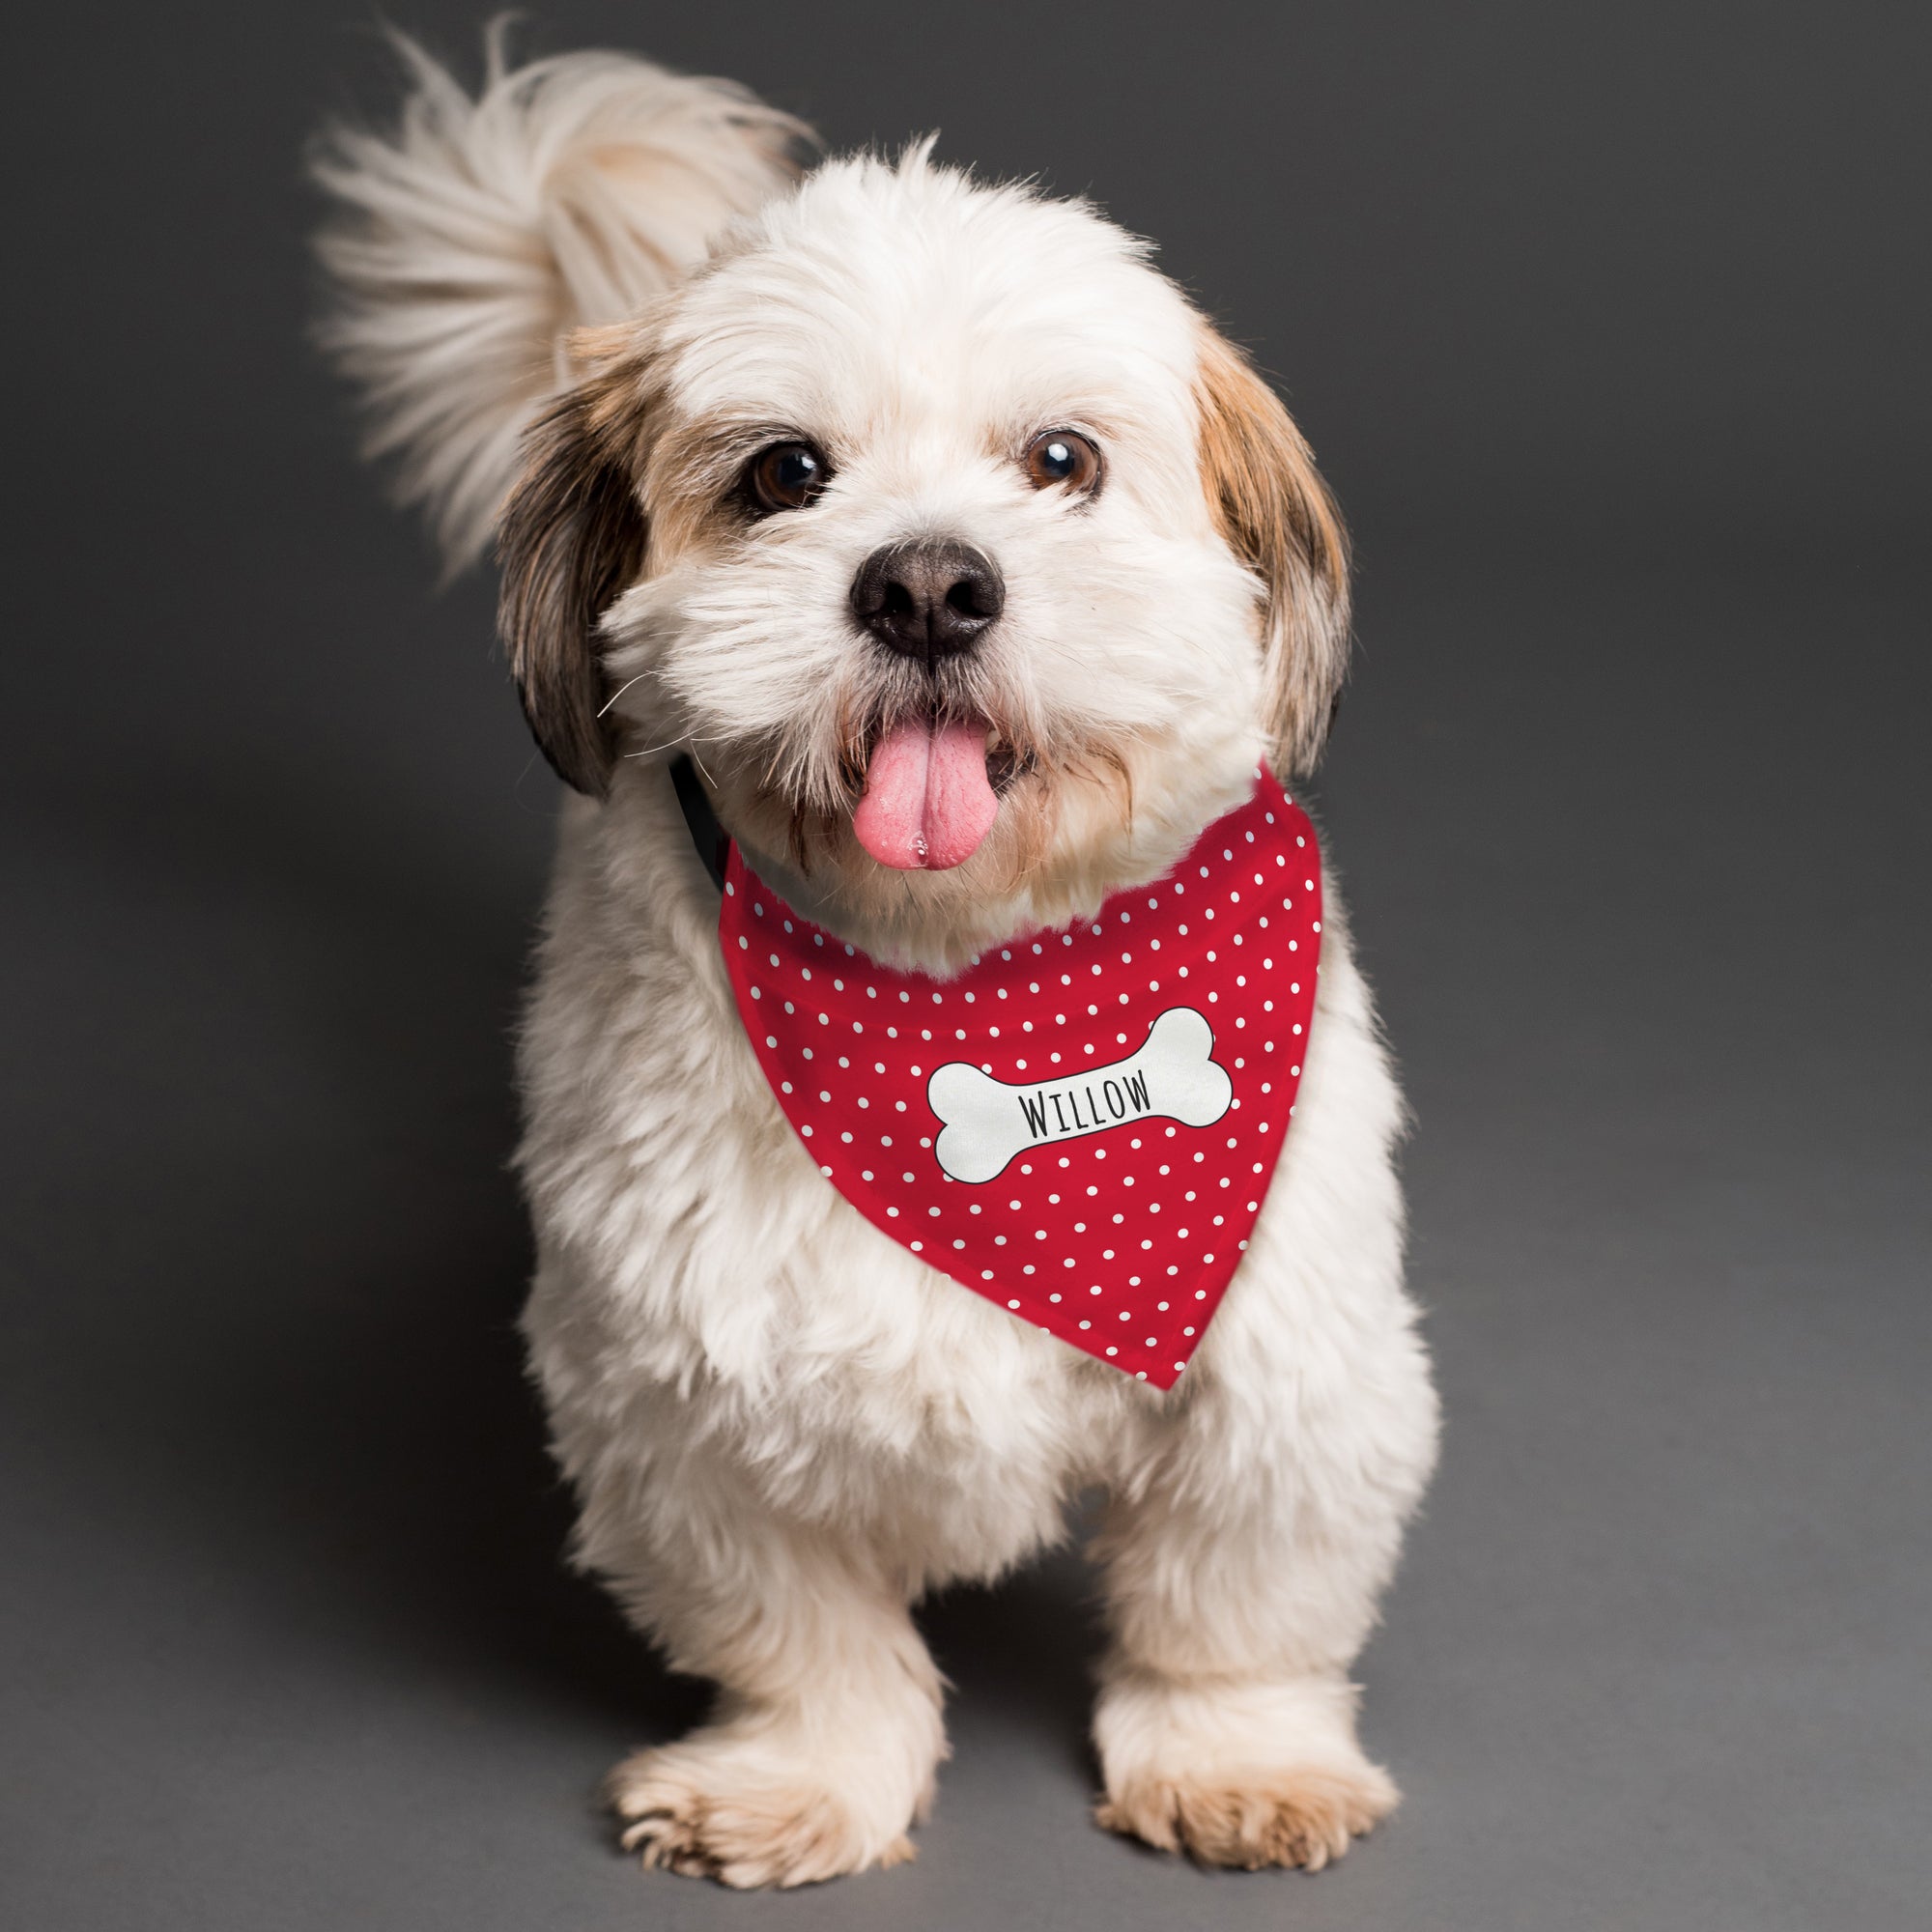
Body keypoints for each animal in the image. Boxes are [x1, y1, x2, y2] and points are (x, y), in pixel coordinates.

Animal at [313, 34, 1437, 1886]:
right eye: (784, 474)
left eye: (1060, 459)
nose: (925, 583)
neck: (971, 985)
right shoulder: (677, 1400)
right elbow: (804, 1632)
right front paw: (801, 1776)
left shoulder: (1283, 1367)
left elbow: (1232, 1603)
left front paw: (1239, 1755)